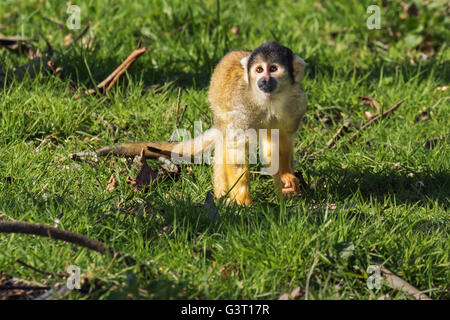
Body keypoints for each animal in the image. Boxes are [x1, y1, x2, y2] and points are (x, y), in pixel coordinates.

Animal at [95, 42, 306, 205]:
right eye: (259, 69)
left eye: (273, 69)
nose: (264, 80)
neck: (269, 100)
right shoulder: (243, 106)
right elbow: (235, 151)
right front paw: (242, 201)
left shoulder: (296, 103)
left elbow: (282, 142)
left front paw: (287, 179)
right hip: (220, 112)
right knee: (225, 142)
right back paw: (223, 197)